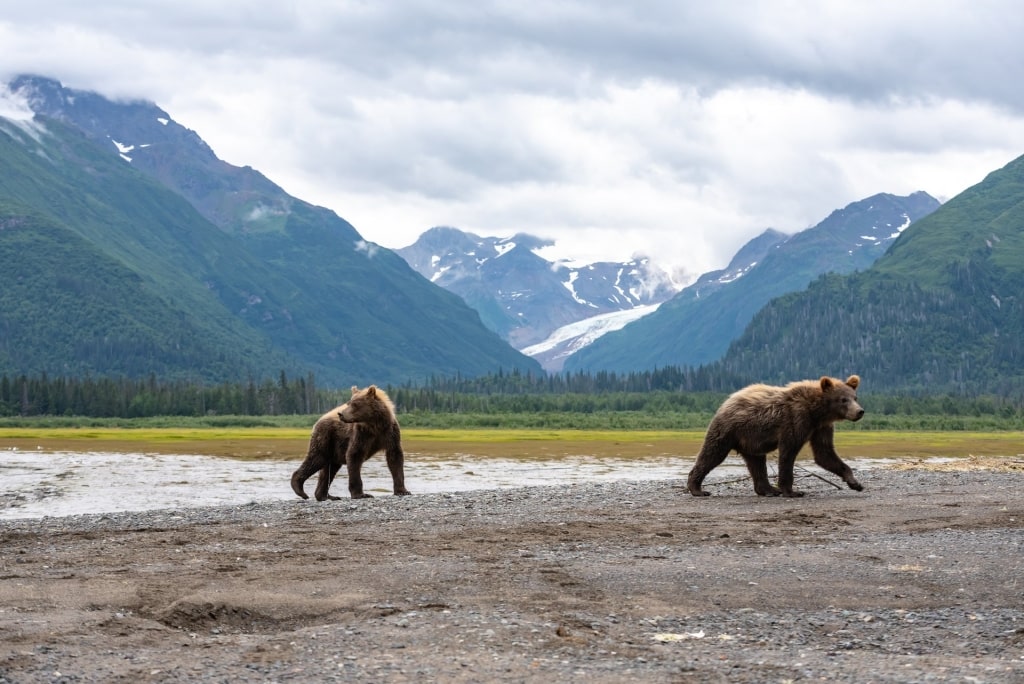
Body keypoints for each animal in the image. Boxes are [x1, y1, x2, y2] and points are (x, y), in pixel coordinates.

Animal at [688, 374, 864, 497]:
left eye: (855, 397)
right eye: (843, 399)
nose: (859, 411)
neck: (817, 412)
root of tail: (727, 400)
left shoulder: (821, 427)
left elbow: (825, 453)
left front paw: (855, 483)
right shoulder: (796, 419)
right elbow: (788, 452)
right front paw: (792, 491)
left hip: (751, 439)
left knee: (757, 462)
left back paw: (768, 489)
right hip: (729, 429)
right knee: (712, 453)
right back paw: (697, 488)